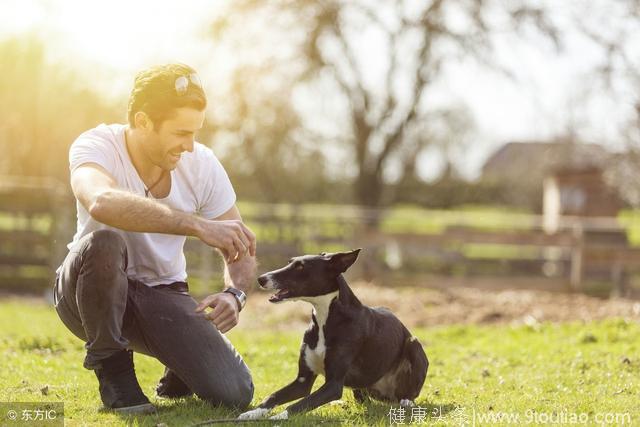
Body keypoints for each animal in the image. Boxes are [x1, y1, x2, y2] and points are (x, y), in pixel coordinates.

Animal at [240, 249, 430, 420]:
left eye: (300, 267)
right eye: (289, 262)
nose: (261, 279)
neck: (326, 317)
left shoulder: (333, 385)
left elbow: (300, 404)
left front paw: (278, 417)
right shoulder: (302, 382)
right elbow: (274, 396)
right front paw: (252, 413)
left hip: (414, 344)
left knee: (409, 393)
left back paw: (407, 402)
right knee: (363, 399)